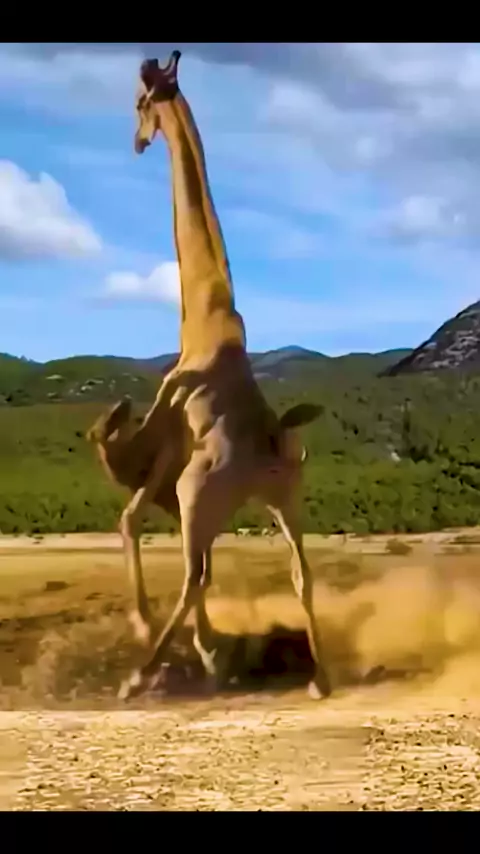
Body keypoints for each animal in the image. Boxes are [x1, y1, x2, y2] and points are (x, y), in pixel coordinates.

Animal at [88, 50, 331, 702]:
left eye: (140, 103)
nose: (137, 141)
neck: (203, 311)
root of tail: (264, 453)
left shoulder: (171, 434)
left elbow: (128, 513)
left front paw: (153, 631)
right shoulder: (178, 455)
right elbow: (138, 521)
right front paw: (205, 651)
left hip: (201, 494)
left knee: (197, 571)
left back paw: (142, 673)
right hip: (284, 498)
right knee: (299, 572)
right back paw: (320, 678)